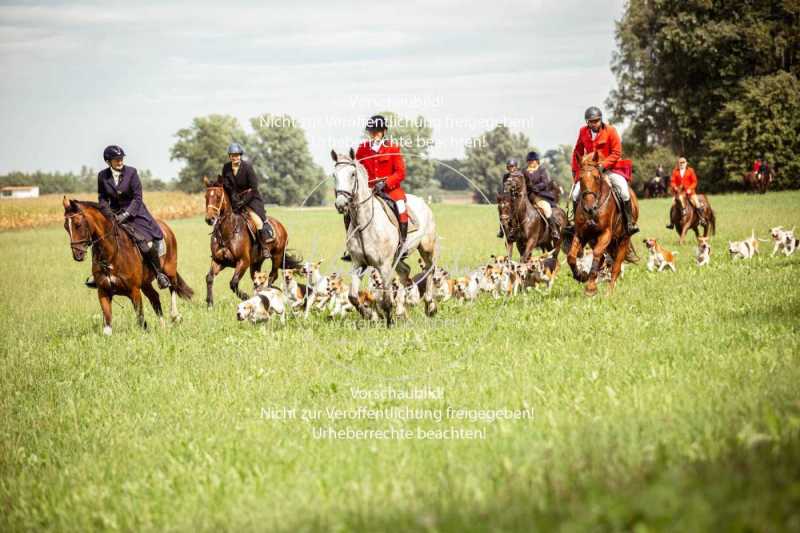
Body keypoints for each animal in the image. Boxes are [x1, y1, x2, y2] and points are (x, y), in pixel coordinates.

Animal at [61, 197, 193, 334]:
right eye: (65, 227)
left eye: (78, 224)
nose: (78, 255)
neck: (111, 255)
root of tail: (164, 226)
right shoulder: (103, 292)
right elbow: (107, 325)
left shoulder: (134, 291)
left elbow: (140, 319)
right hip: (145, 283)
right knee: (155, 297)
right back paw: (163, 327)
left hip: (169, 269)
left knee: (173, 286)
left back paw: (175, 316)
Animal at [202, 176, 302, 308]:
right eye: (206, 196)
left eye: (218, 196)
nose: (210, 219)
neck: (227, 232)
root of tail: (280, 226)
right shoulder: (219, 261)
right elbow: (209, 278)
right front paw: (210, 304)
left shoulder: (243, 261)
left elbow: (233, 282)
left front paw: (245, 297)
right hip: (256, 262)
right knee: (258, 278)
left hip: (277, 256)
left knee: (272, 275)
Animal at [332, 148, 438, 326]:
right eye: (334, 175)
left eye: (353, 174)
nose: (341, 204)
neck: (364, 223)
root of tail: (422, 201)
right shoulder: (358, 264)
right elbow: (353, 296)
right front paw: (370, 315)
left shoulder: (384, 265)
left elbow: (387, 299)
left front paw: (389, 322)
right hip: (398, 256)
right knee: (405, 272)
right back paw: (403, 309)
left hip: (426, 247)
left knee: (429, 269)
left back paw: (430, 306)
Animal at [564, 152, 640, 298]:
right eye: (580, 178)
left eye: (596, 177)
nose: (589, 208)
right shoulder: (581, 234)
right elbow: (571, 256)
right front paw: (580, 276)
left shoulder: (606, 234)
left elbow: (597, 255)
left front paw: (590, 288)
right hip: (597, 241)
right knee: (602, 259)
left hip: (623, 240)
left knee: (615, 268)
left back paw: (608, 293)